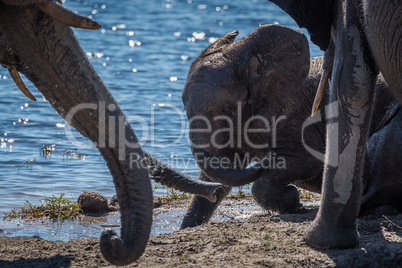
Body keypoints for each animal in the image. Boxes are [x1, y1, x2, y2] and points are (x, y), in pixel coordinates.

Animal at [181, 24, 402, 230]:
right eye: (183, 105)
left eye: (227, 108)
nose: (267, 158)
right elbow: (223, 169)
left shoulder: (295, 114)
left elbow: (306, 160)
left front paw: (294, 203)